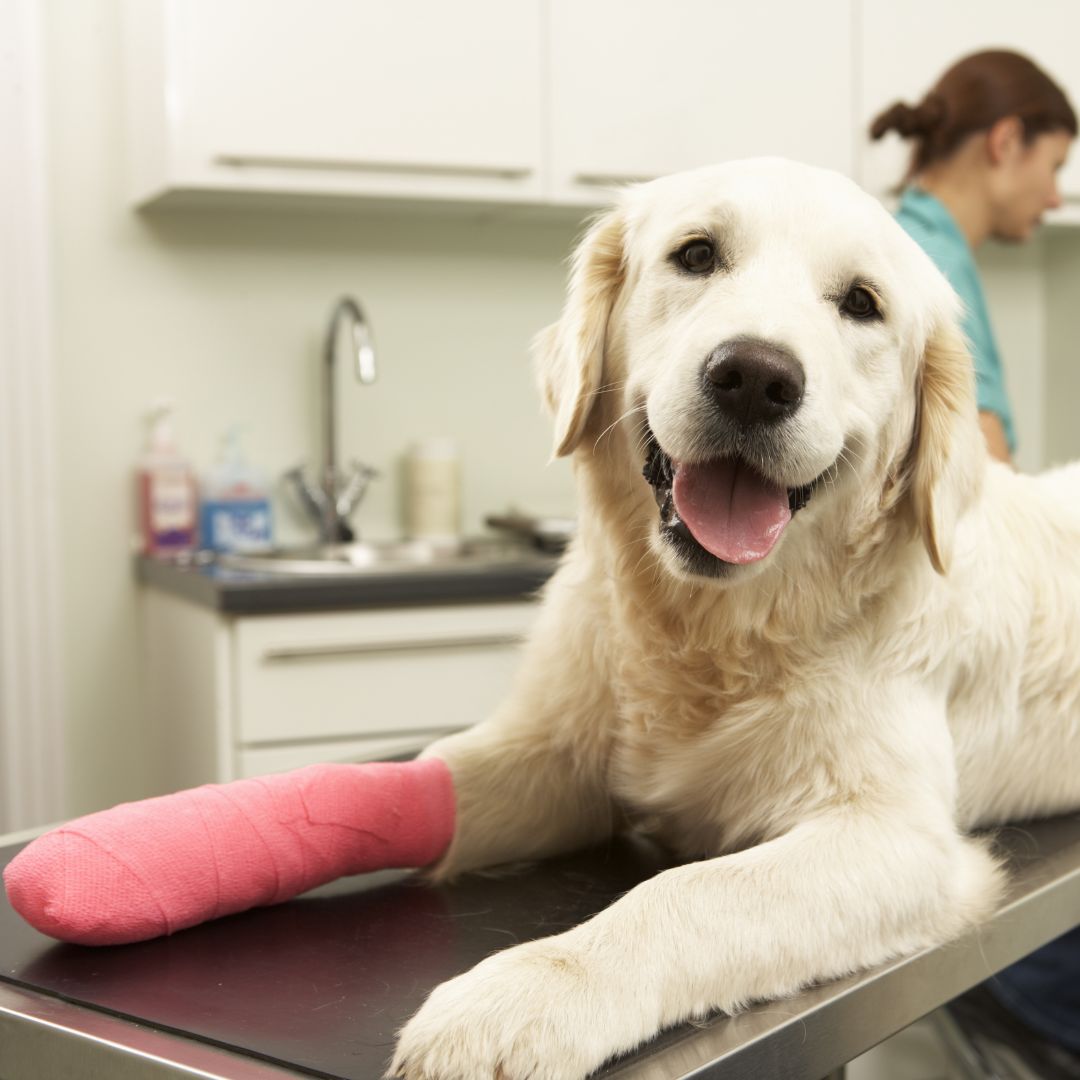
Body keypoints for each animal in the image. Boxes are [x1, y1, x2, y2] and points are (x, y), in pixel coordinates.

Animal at [393, 157, 1080, 1080]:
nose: (755, 377)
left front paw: (522, 996)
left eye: (861, 302)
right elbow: (434, 777)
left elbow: (687, 891)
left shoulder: (898, 838)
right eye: (696, 254)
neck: (715, 630)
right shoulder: (555, 754)